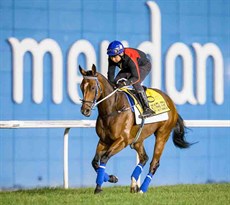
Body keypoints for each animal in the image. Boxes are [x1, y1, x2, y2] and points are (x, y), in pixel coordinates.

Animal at [79, 64, 190, 194]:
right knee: (144, 158)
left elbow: (105, 157)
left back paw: (142, 189)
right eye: (81, 87)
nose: (85, 110)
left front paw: (100, 187)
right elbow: (95, 162)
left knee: (154, 163)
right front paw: (111, 179)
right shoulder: (103, 140)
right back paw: (134, 183)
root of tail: (171, 103)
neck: (112, 109)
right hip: (138, 138)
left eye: (92, 87)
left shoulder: (122, 141)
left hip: (163, 134)